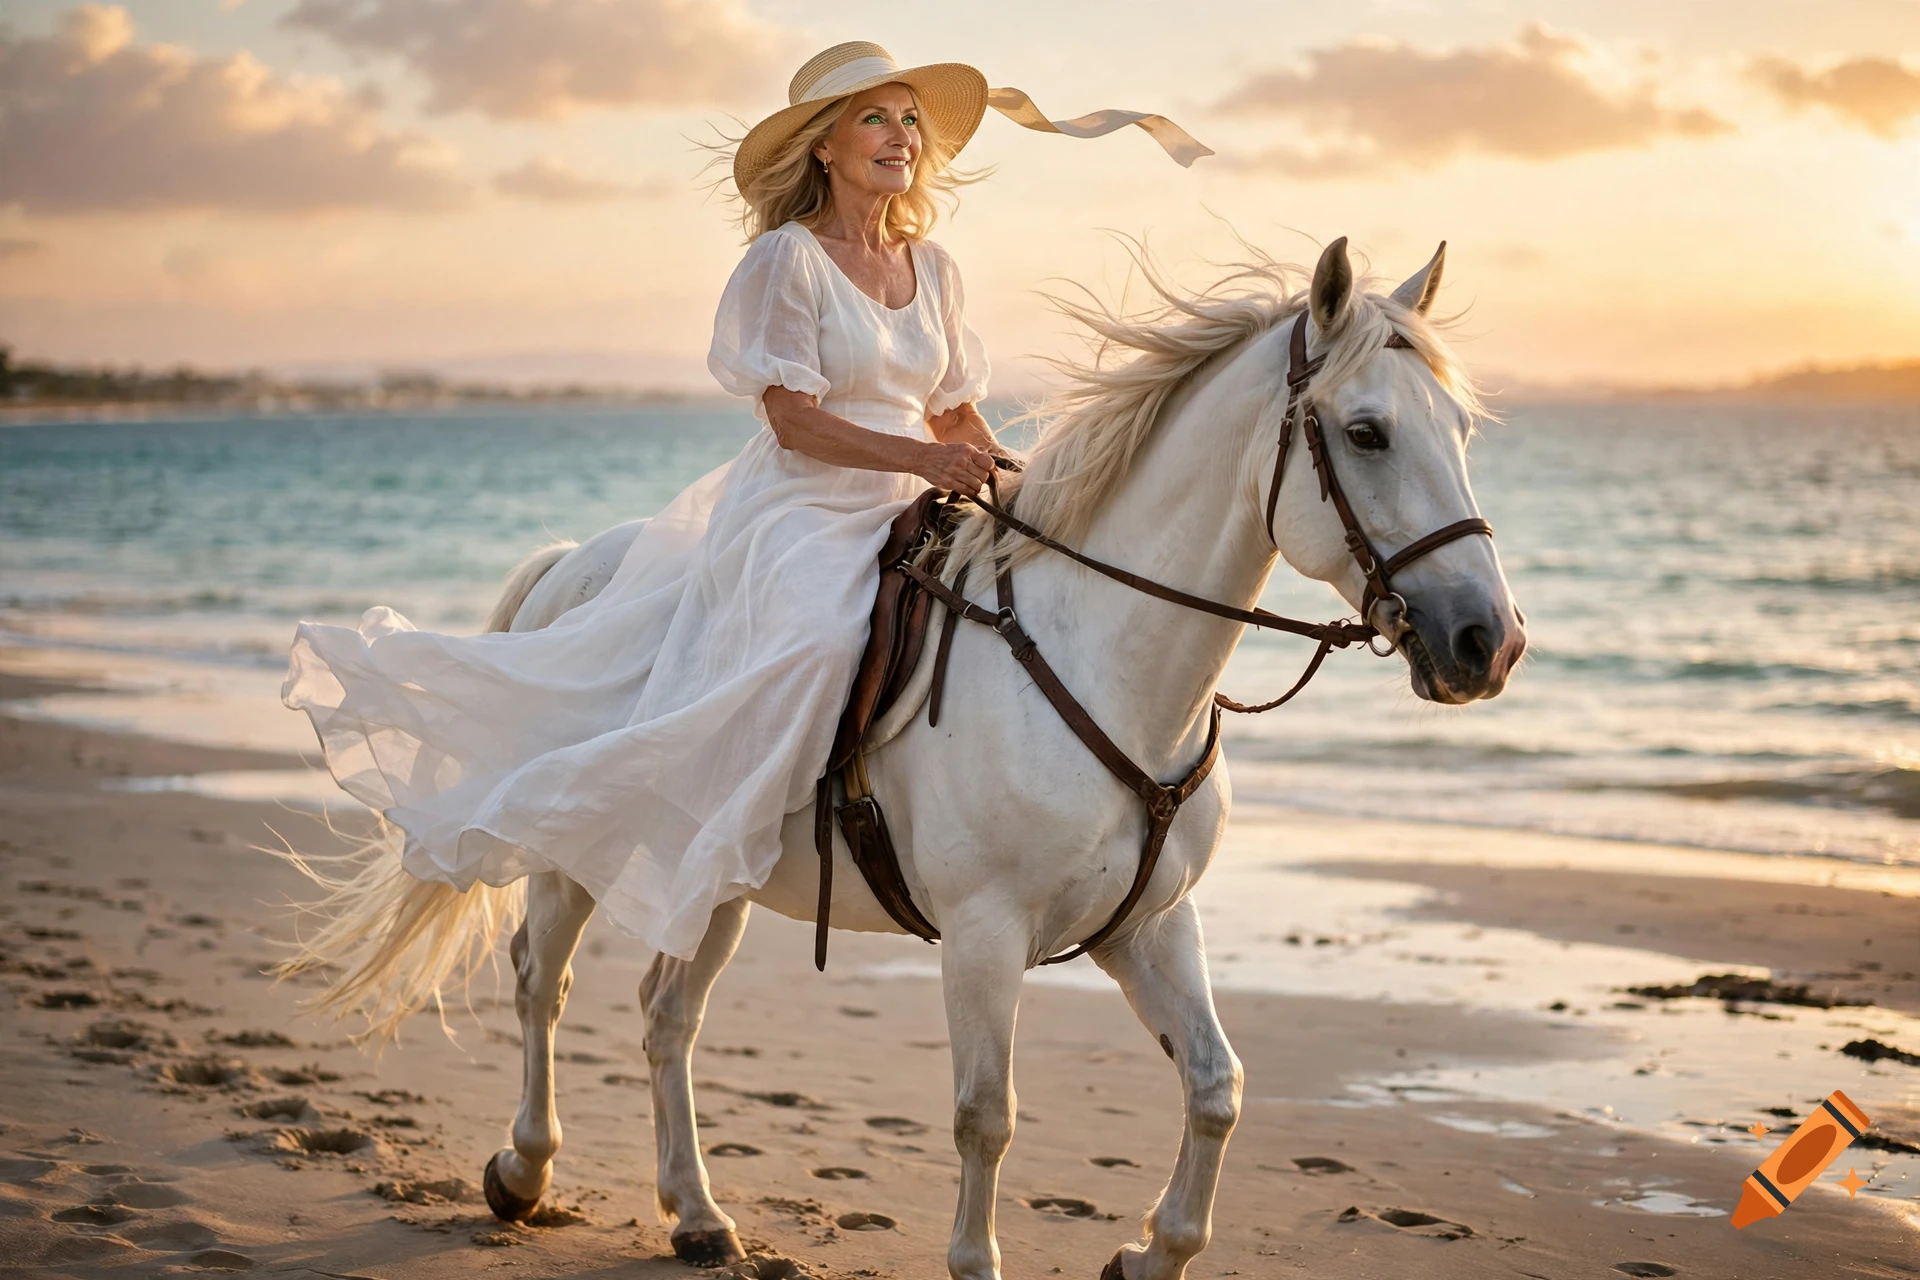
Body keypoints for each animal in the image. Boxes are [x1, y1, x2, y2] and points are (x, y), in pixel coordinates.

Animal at [278, 236, 1525, 1280]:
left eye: (1461, 432)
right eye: (1364, 432)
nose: (1489, 641)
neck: (1099, 655)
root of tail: (578, 561)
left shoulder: (1152, 922)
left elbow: (1217, 1087)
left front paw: (1150, 1252)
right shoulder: (984, 934)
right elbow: (986, 1112)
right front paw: (980, 1262)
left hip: (714, 872)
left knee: (665, 1013)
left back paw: (697, 1214)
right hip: (577, 848)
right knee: (546, 977)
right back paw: (524, 1169)